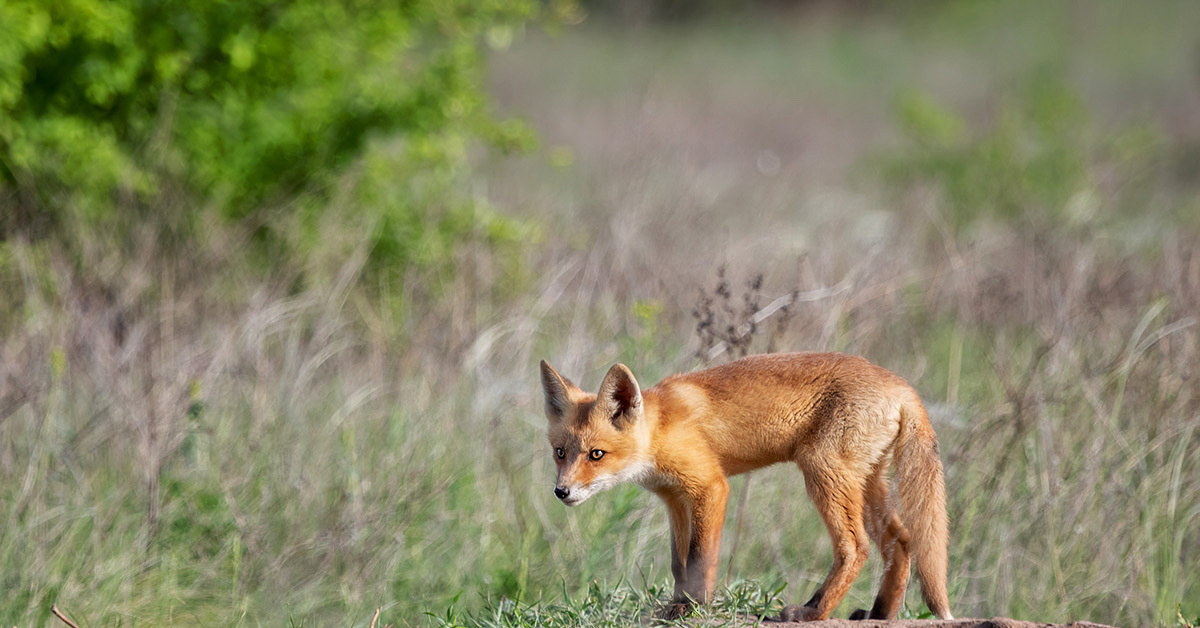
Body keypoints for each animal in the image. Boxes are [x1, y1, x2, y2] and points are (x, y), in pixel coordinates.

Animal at [540, 350, 950, 619]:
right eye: (560, 452)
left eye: (596, 454)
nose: (562, 492)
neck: (660, 431)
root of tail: (901, 384)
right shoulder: (675, 500)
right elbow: (679, 563)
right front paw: (677, 604)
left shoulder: (710, 487)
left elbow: (700, 558)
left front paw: (694, 608)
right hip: (866, 485)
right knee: (902, 541)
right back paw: (879, 614)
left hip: (823, 473)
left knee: (855, 547)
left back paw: (811, 611)